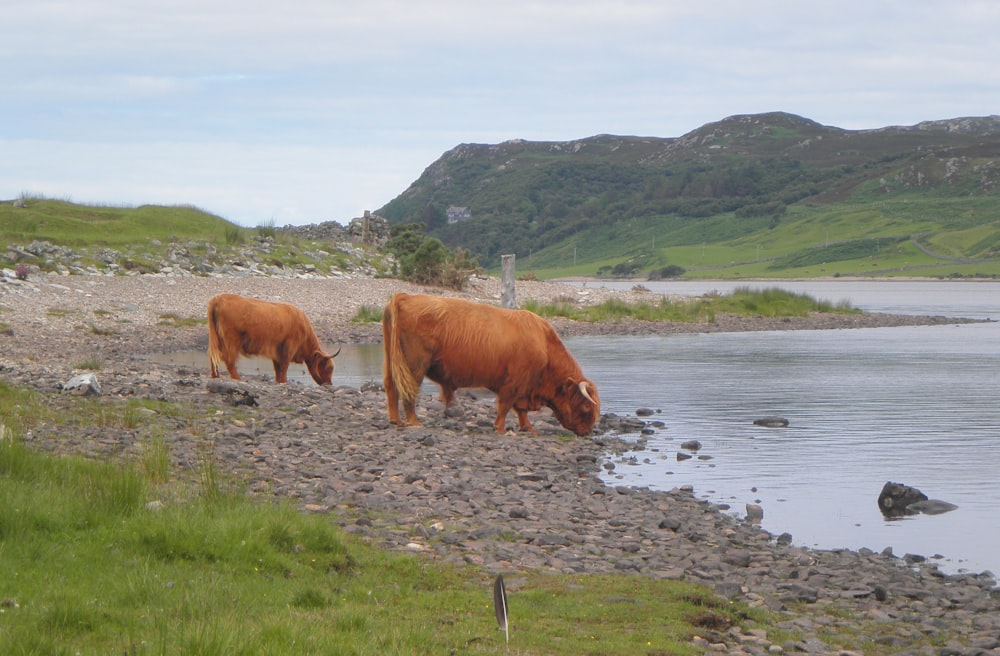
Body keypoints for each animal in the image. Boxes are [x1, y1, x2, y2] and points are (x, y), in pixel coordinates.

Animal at [207, 292, 340, 384]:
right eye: (330, 368)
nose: (329, 384)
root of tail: (218, 298)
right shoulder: (290, 346)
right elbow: (284, 366)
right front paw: (284, 381)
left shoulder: (277, 349)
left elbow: (277, 368)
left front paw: (279, 381)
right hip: (231, 340)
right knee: (229, 360)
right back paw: (237, 378)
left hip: (216, 338)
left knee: (213, 356)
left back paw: (215, 376)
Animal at [380, 292, 600, 436]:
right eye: (586, 408)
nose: (587, 431)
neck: (545, 345)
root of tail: (405, 296)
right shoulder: (514, 383)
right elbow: (505, 405)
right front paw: (500, 428)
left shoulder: (523, 387)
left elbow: (520, 410)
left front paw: (527, 427)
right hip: (414, 363)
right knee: (408, 390)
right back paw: (414, 422)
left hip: (392, 359)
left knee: (391, 386)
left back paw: (395, 420)